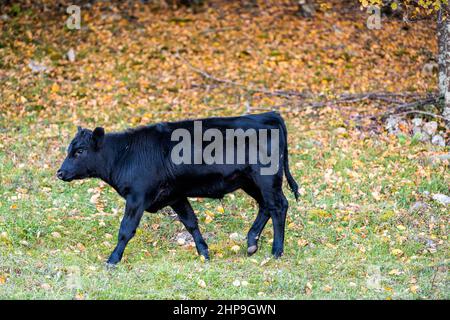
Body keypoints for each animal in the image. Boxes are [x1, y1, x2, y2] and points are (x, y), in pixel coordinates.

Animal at [57, 111, 298, 266]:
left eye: (79, 151)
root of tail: (267, 115)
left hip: (266, 179)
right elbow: (190, 222)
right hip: (249, 181)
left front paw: (113, 259)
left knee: (278, 206)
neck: (124, 154)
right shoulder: (175, 196)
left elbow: (126, 229)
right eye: (70, 149)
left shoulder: (137, 197)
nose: (59, 172)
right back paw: (251, 243)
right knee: (265, 206)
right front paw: (204, 252)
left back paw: (276, 251)